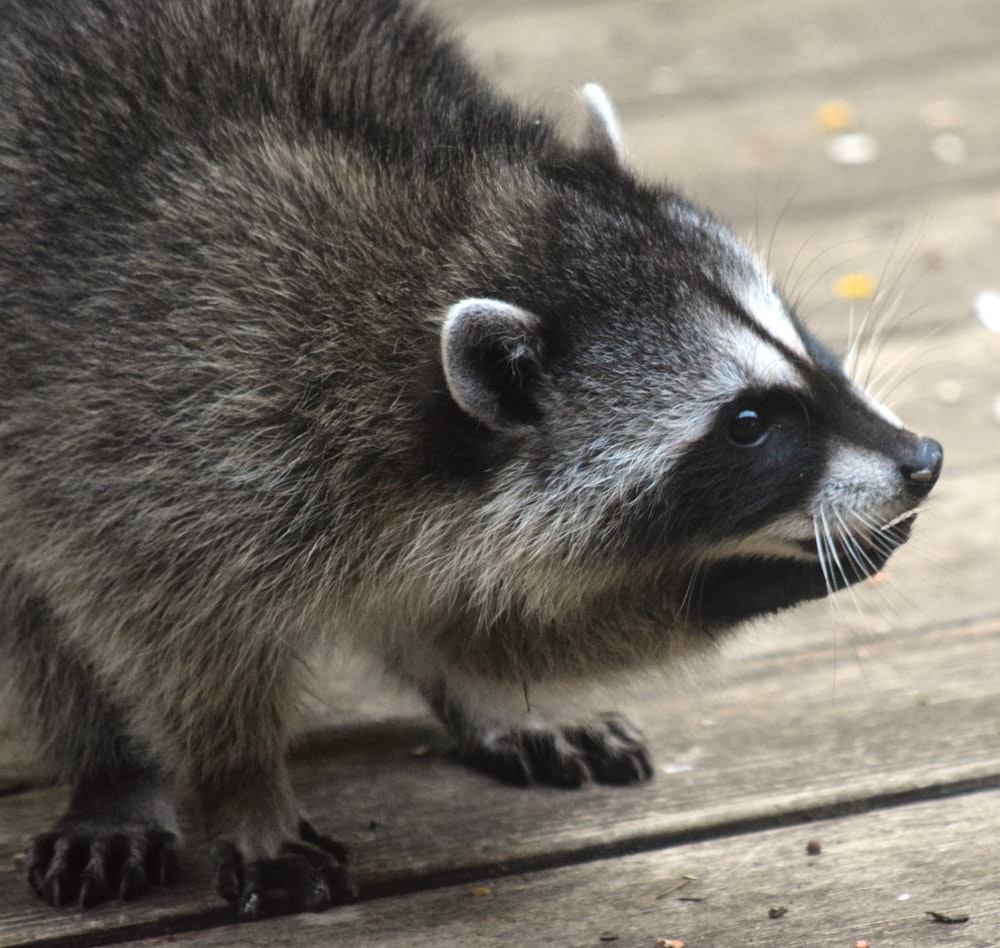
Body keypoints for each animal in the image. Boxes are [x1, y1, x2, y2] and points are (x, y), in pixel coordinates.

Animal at [1, 0, 936, 920]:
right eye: (747, 423)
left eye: (799, 334)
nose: (922, 458)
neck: (440, 226)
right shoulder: (156, 428)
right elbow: (166, 635)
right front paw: (238, 785)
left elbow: (483, 611)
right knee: (39, 606)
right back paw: (115, 774)